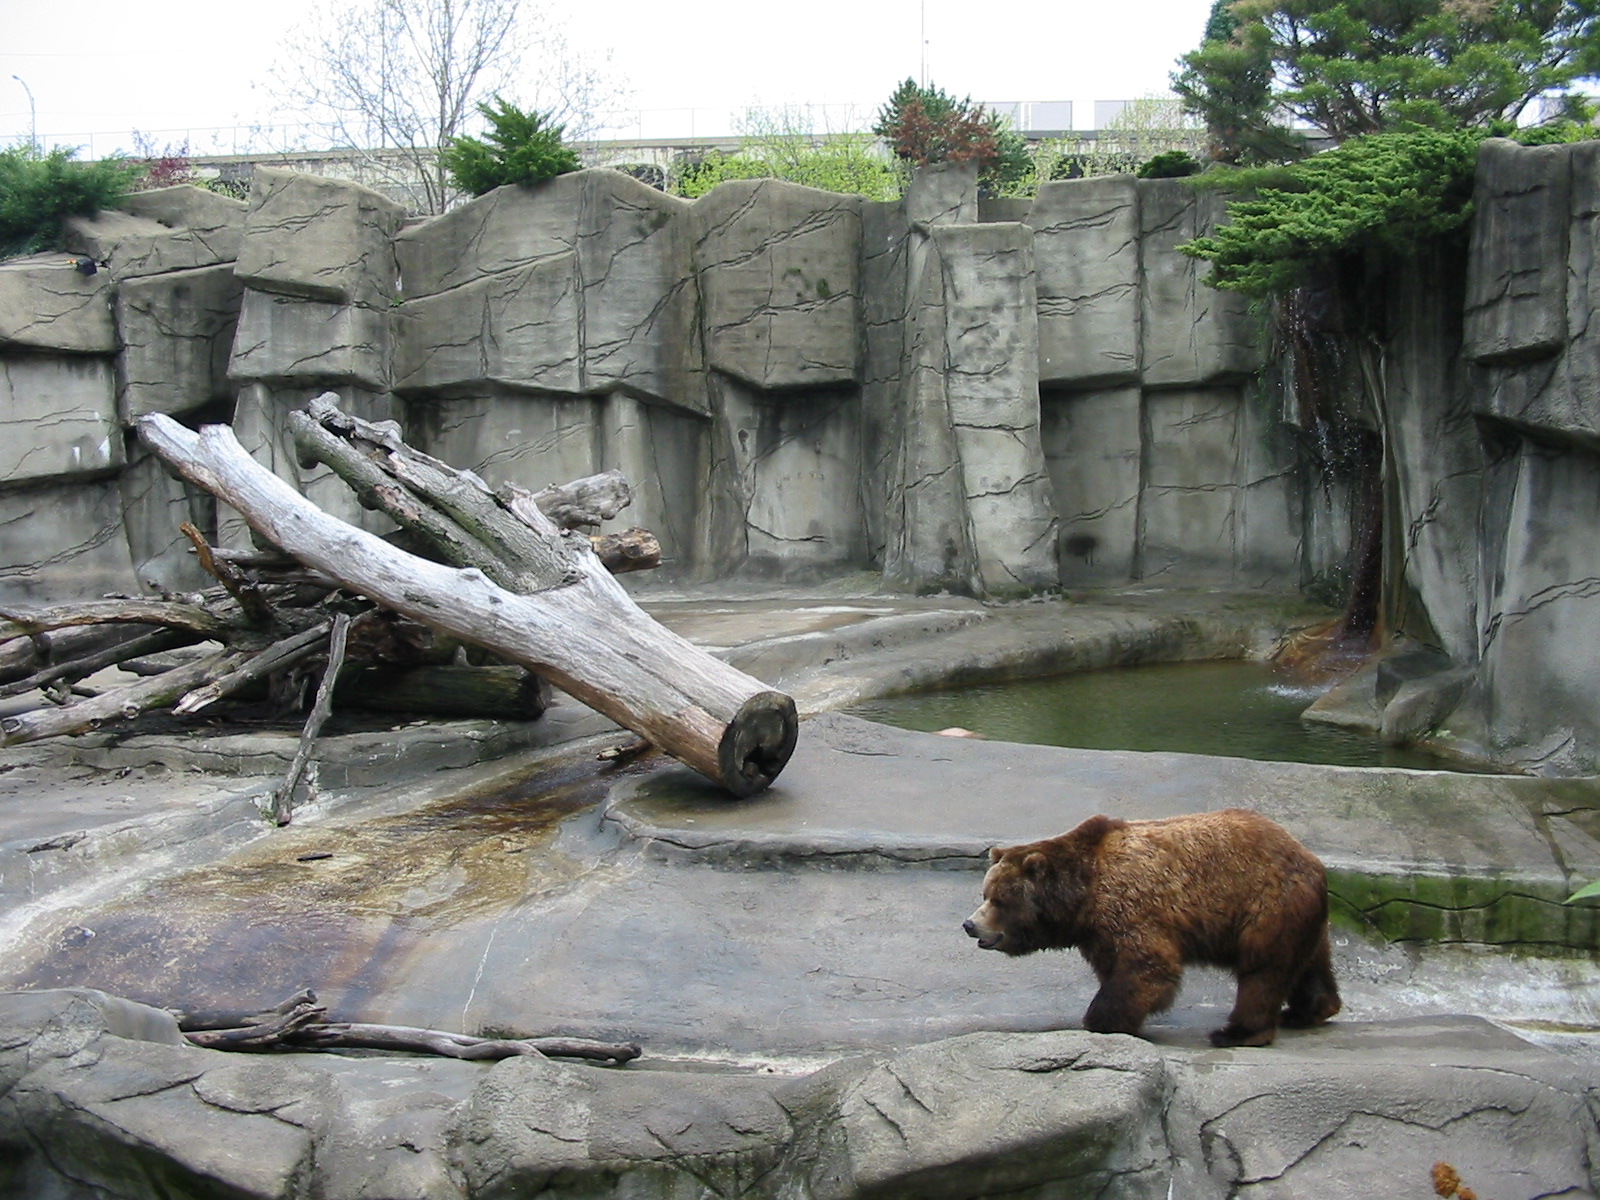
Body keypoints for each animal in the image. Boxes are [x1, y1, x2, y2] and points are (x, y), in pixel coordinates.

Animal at [963, 808, 1340, 1047]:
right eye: (986, 893)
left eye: (998, 899)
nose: (970, 924)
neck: (1082, 895)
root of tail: (1311, 860)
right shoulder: (1097, 932)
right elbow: (1115, 967)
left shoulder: (1130, 907)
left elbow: (1146, 967)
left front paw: (1103, 1021)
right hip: (1296, 916)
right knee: (1308, 964)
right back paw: (1310, 1010)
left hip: (1264, 905)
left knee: (1262, 971)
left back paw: (1238, 1033)